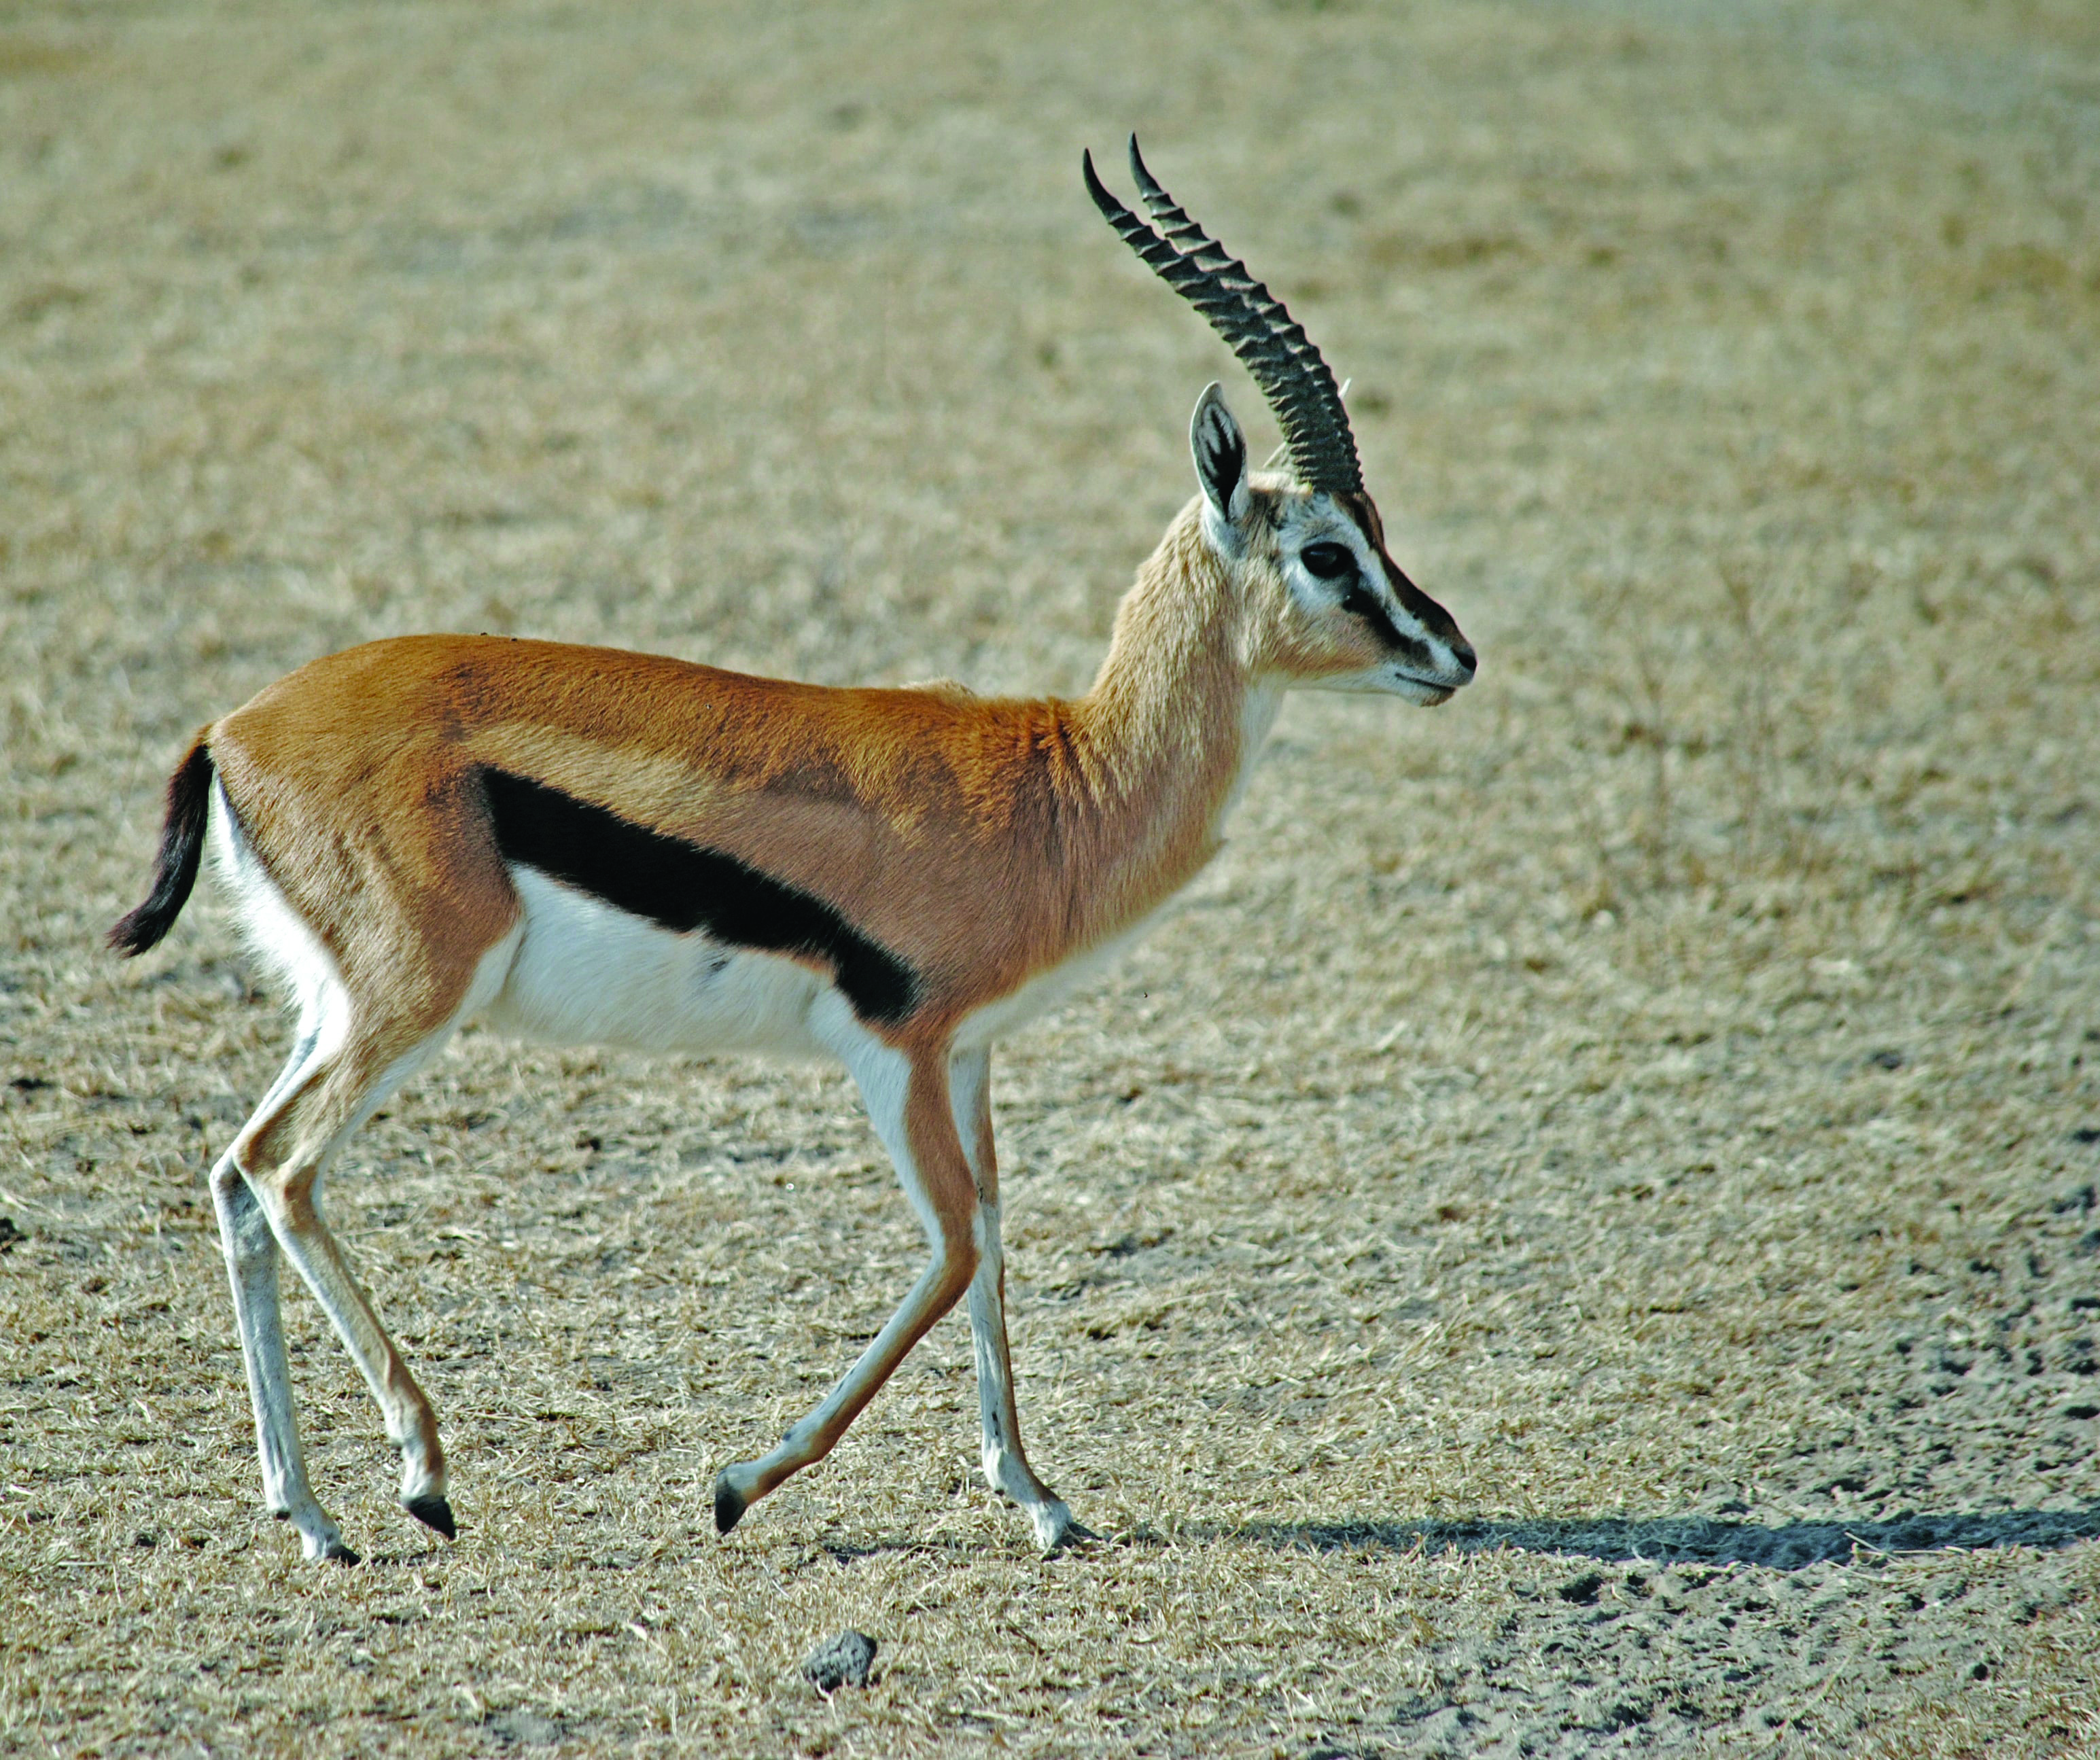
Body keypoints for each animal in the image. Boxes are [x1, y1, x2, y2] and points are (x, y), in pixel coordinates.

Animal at [110, 139, 1475, 1563]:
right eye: (1327, 552)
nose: (1454, 655)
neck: (1061, 781)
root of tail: (232, 727)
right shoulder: (896, 1048)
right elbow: (950, 1252)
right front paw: (739, 1483)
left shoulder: (969, 1055)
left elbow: (995, 1238)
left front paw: (1038, 1496)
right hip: (415, 997)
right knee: (285, 1171)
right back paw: (421, 1475)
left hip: (337, 1005)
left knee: (234, 1172)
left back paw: (310, 1514)